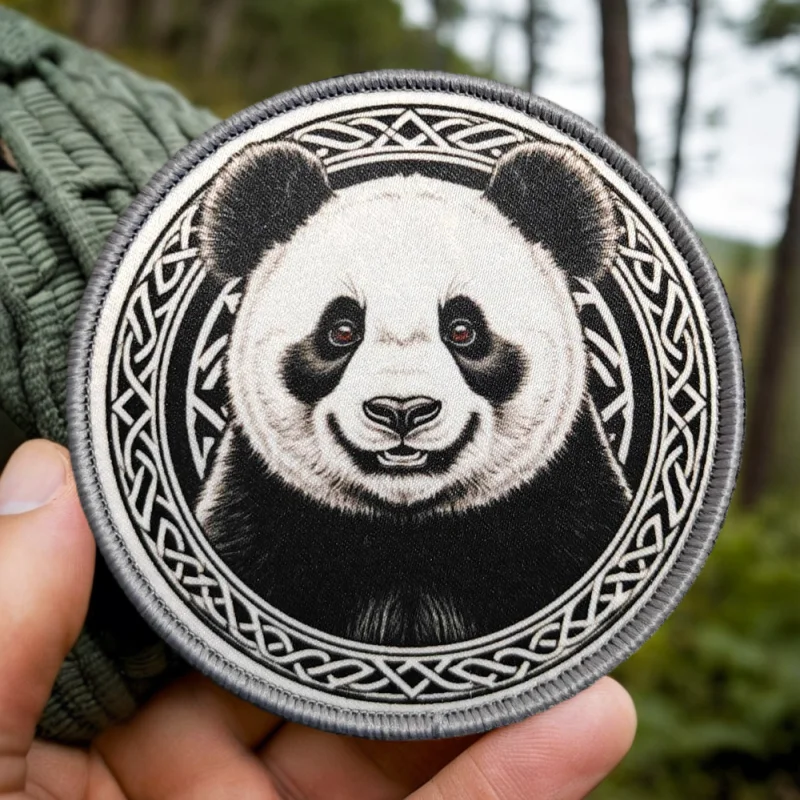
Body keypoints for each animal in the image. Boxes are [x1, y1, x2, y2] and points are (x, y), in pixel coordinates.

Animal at [195, 139, 632, 647]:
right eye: (342, 330)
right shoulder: (256, 520)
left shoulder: (566, 517)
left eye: (462, 329)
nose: (401, 410)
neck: (408, 536)